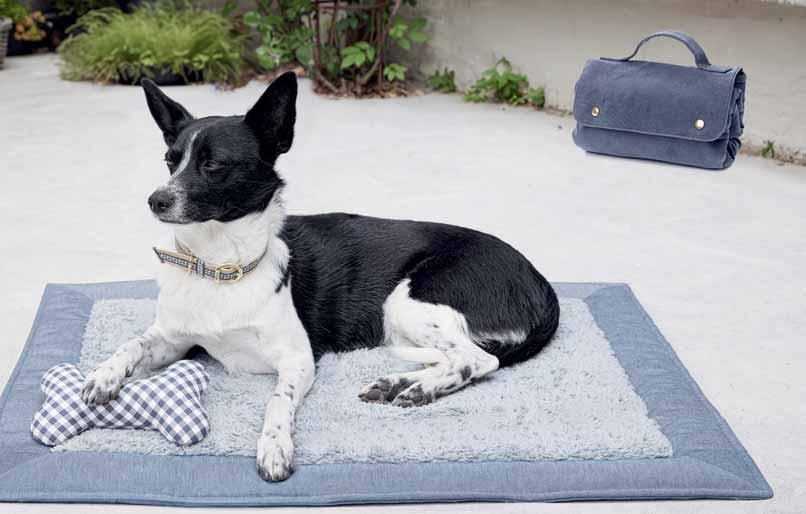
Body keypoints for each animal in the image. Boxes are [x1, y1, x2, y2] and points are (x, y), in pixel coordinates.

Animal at [81, 72, 560, 481]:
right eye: (169, 160)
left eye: (213, 165)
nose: (155, 200)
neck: (218, 267)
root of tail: (538, 279)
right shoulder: (173, 339)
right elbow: (130, 344)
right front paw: (102, 375)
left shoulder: (297, 360)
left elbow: (277, 403)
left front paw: (274, 447)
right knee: (455, 356)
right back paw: (397, 383)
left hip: (408, 301)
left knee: (478, 359)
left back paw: (418, 389)